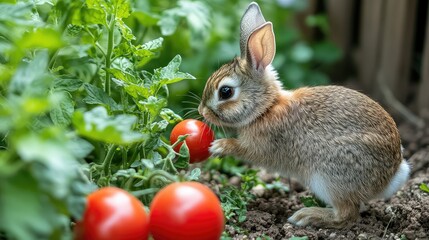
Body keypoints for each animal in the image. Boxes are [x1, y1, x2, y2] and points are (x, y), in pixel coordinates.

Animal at [198, 0, 412, 228]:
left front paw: (219, 146)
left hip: (329, 177)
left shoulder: (262, 146)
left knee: (347, 215)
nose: (202, 111)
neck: (266, 109)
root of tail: (392, 176)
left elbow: (244, 150)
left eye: (225, 92)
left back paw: (306, 216)